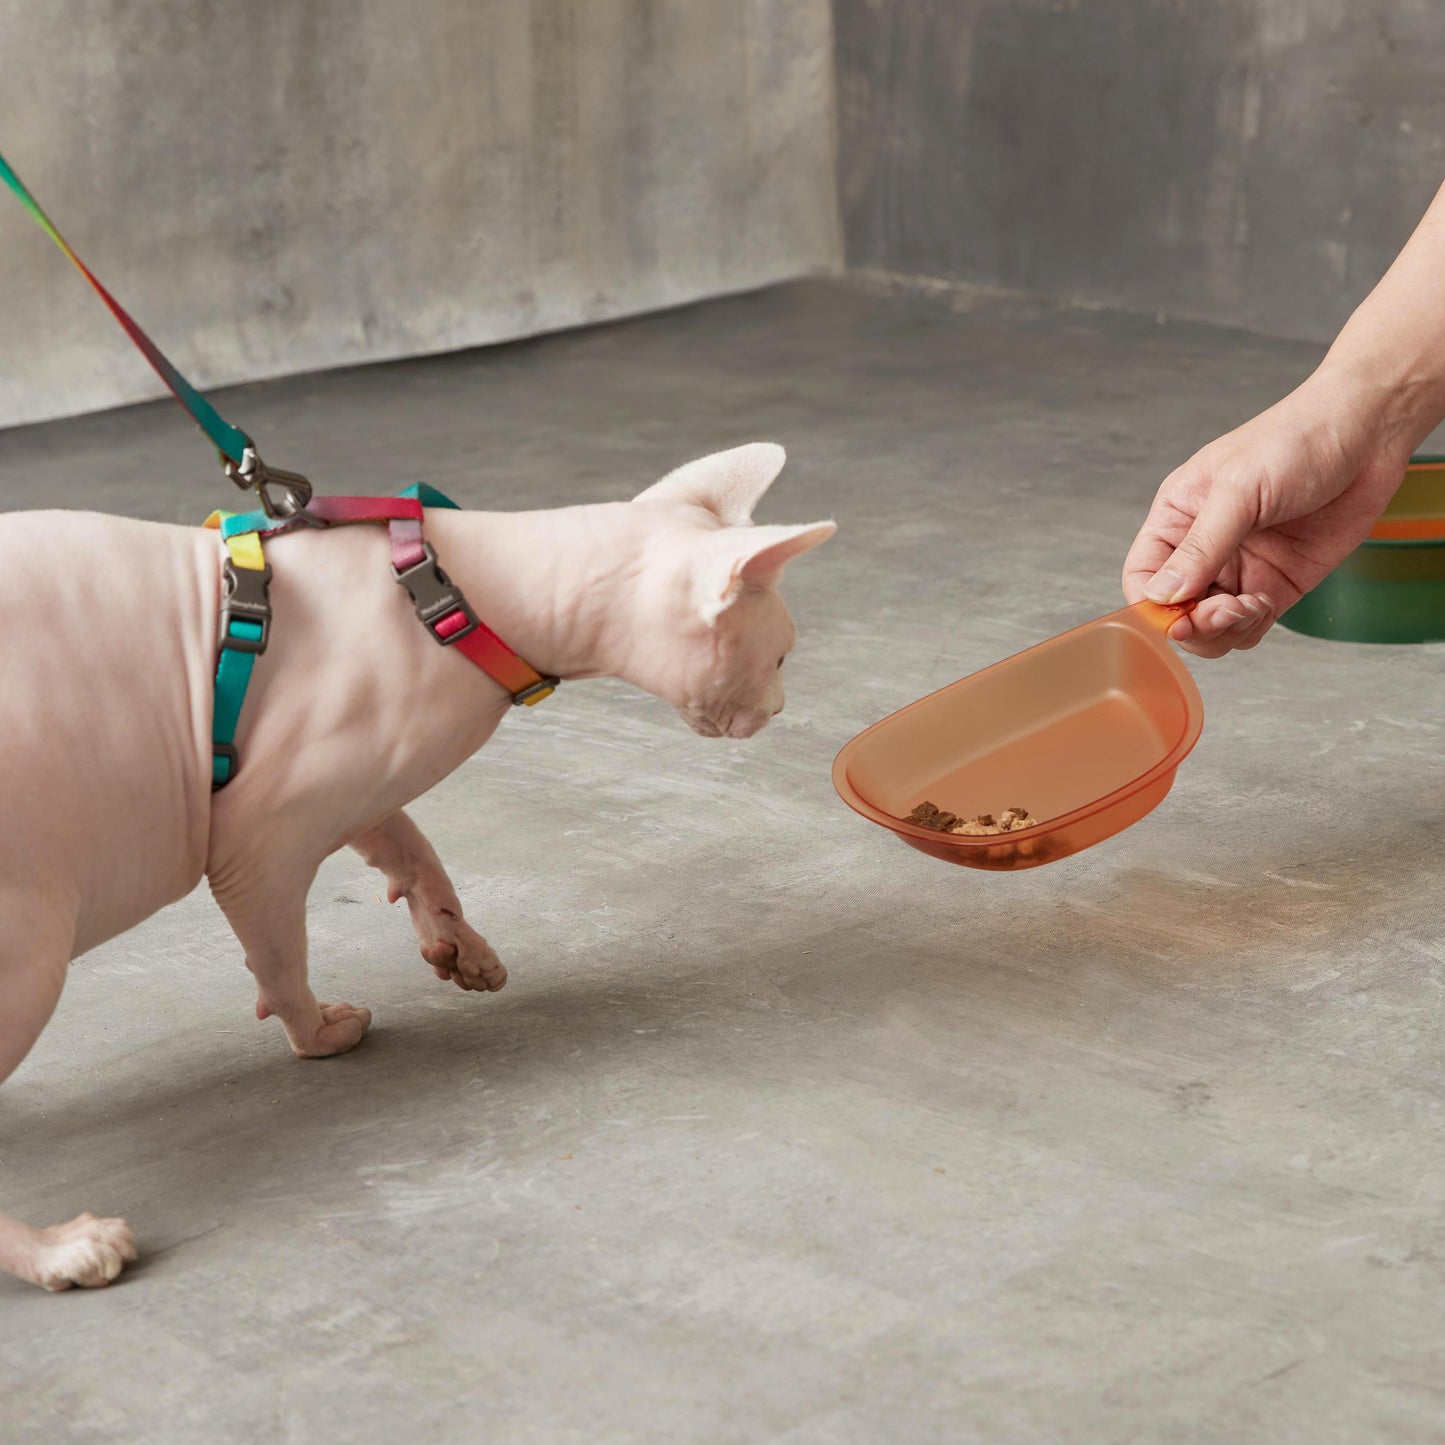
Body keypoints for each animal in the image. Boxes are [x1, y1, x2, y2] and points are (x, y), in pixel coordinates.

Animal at [0, 439, 838, 1288]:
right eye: (780, 656)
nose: (778, 711)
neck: (461, 591)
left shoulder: (358, 792)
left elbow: (412, 849)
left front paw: (461, 947)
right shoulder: (260, 841)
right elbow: (282, 959)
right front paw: (317, 1033)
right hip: (30, 945)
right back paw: (62, 1249)